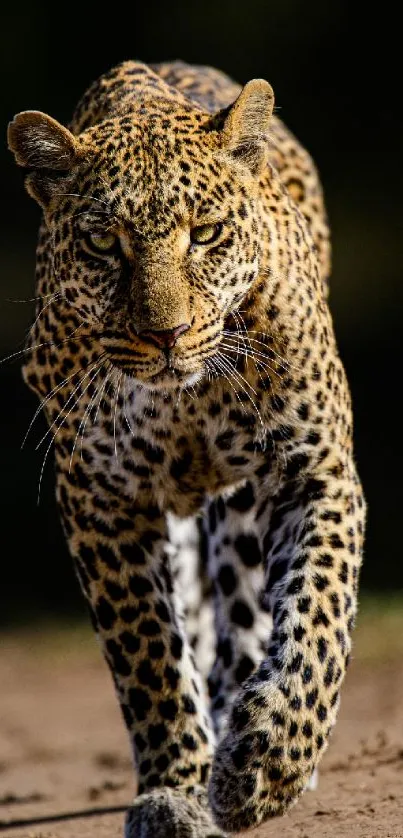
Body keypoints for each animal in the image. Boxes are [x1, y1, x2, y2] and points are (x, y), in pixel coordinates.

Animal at [7, 60, 366, 838]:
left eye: (204, 234)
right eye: (103, 244)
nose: (164, 335)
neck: (186, 397)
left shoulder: (313, 468)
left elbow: (317, 617)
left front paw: (268, 762)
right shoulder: (101, 497)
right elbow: (148, 655)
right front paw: (175, 789)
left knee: (248, 612)